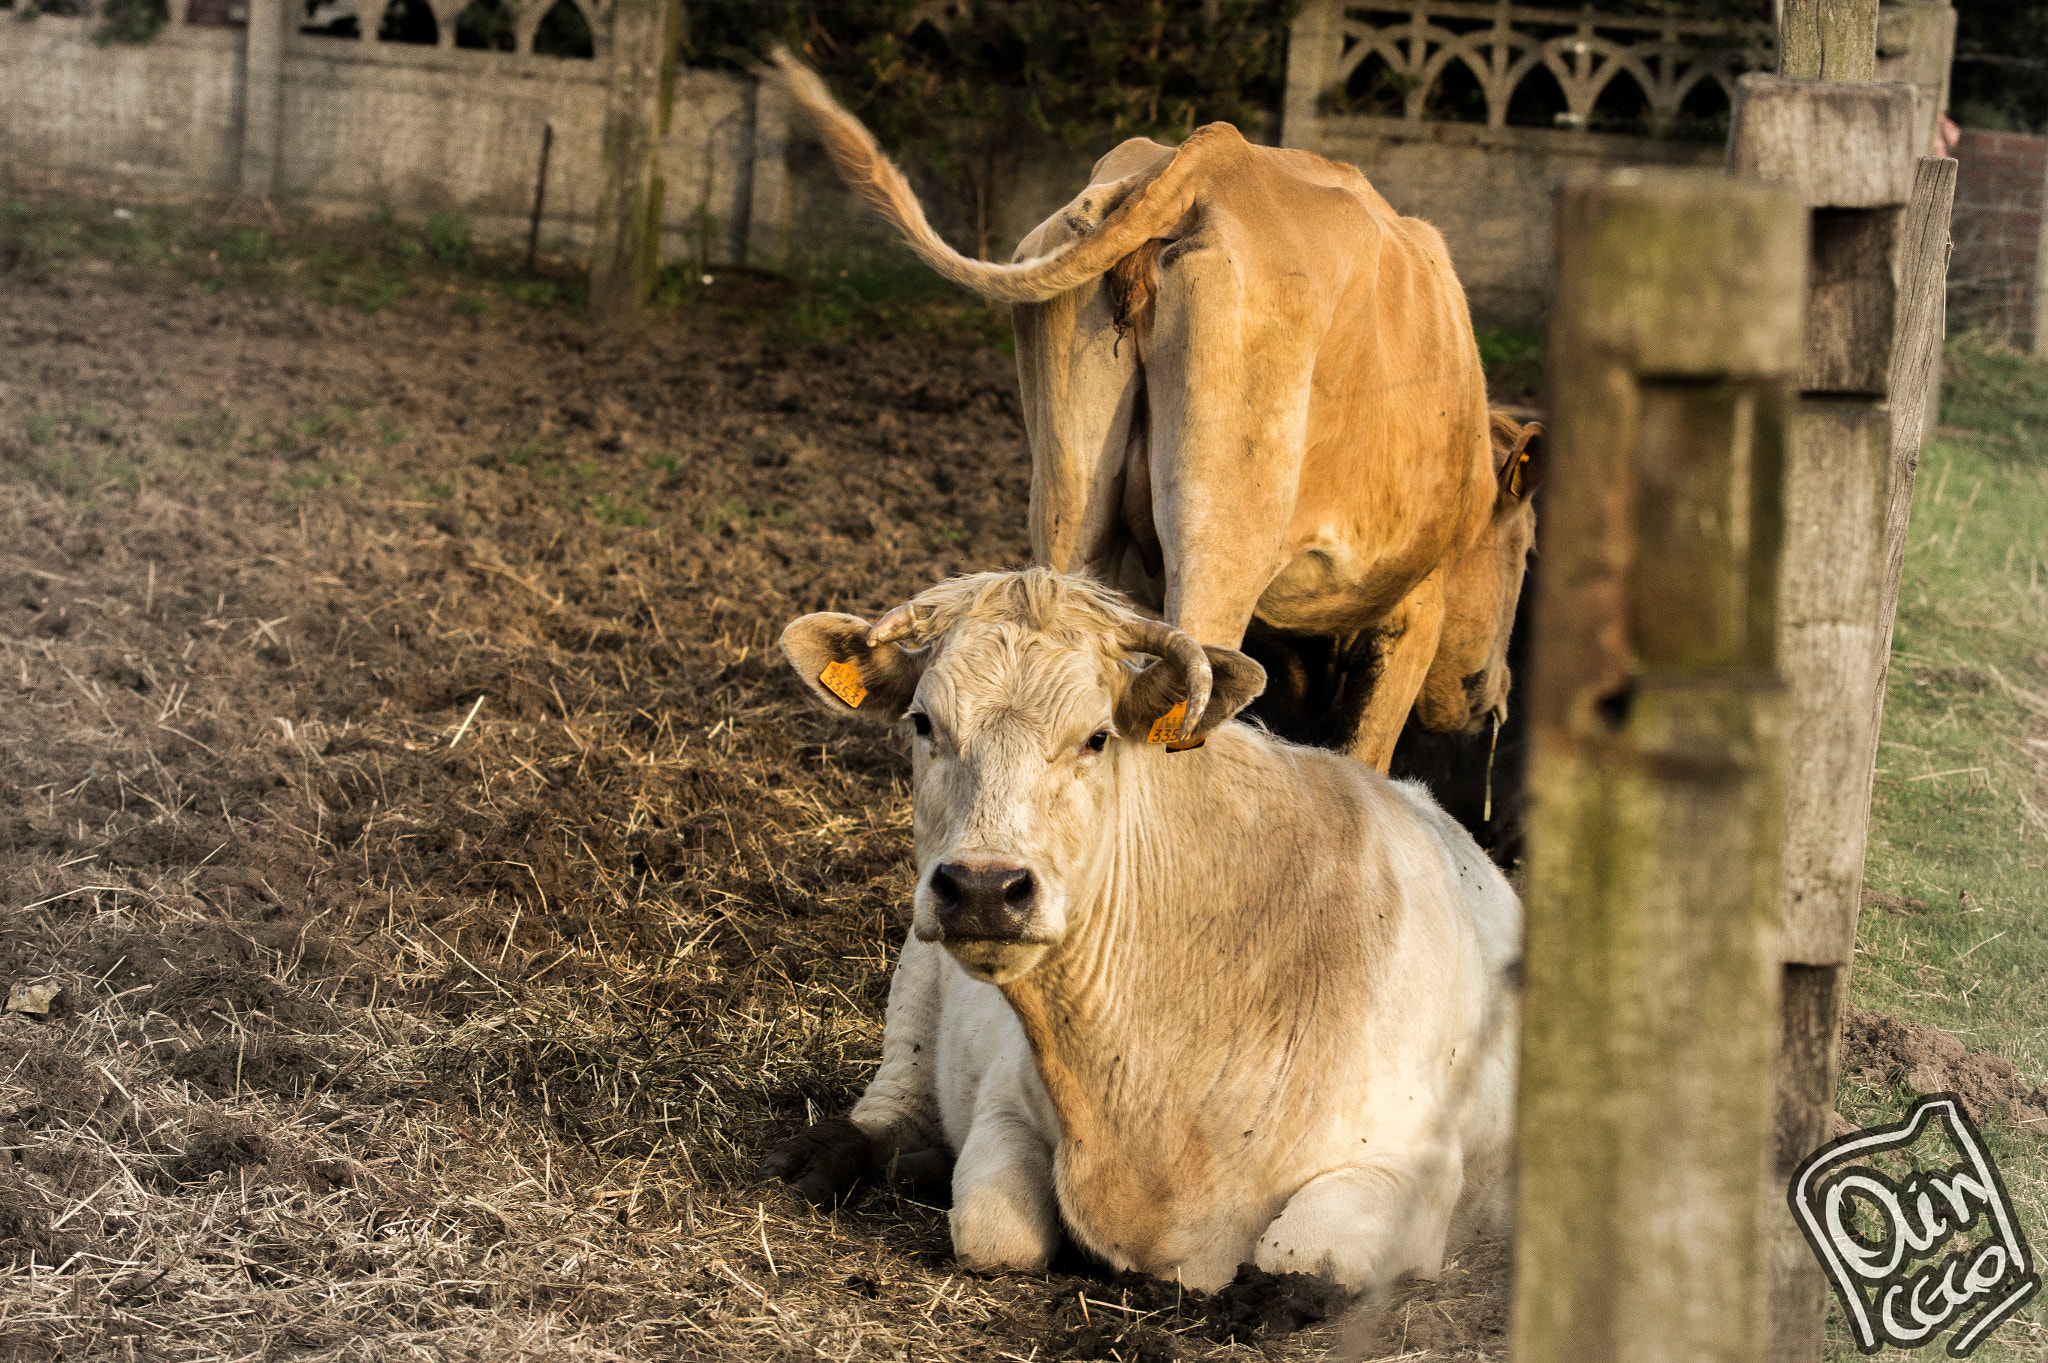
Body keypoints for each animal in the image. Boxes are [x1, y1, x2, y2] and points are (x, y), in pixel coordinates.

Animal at [770, 568, 1523, 1293]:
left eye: (1097, 736)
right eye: (923, 722)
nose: (984, 889)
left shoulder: (1408, 1170)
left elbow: (1303, 1263)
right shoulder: (1004, 1100)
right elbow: (996, 1233)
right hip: (918, 984)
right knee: (893, 1105)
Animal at [774, 53, 1540, 769]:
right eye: (1526, 549)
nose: (1499, 697)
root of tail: (1211, 158)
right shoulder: (1415, 608)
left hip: (1069, 506)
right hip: (1217, 548)